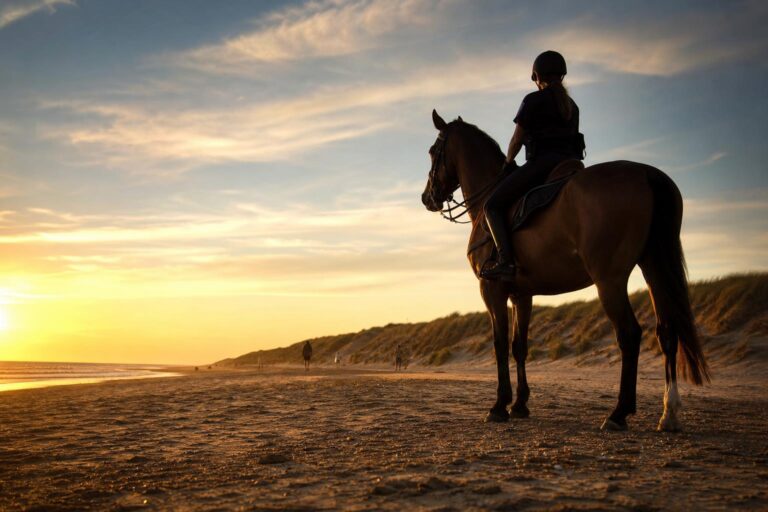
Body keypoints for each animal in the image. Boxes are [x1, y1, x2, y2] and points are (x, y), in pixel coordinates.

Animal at [421, 110, 709, 431]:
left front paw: (499, 406)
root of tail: (646, 173)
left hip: (609, 281)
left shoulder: (492, 290)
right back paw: (669, 413)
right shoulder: (522, 295)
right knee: (667, 332)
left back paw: (619, 412)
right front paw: (520, 405)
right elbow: (519, 346)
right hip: (653, 269)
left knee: (630, 334)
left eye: (432, 151)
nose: (427, 197)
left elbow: (499, 344)